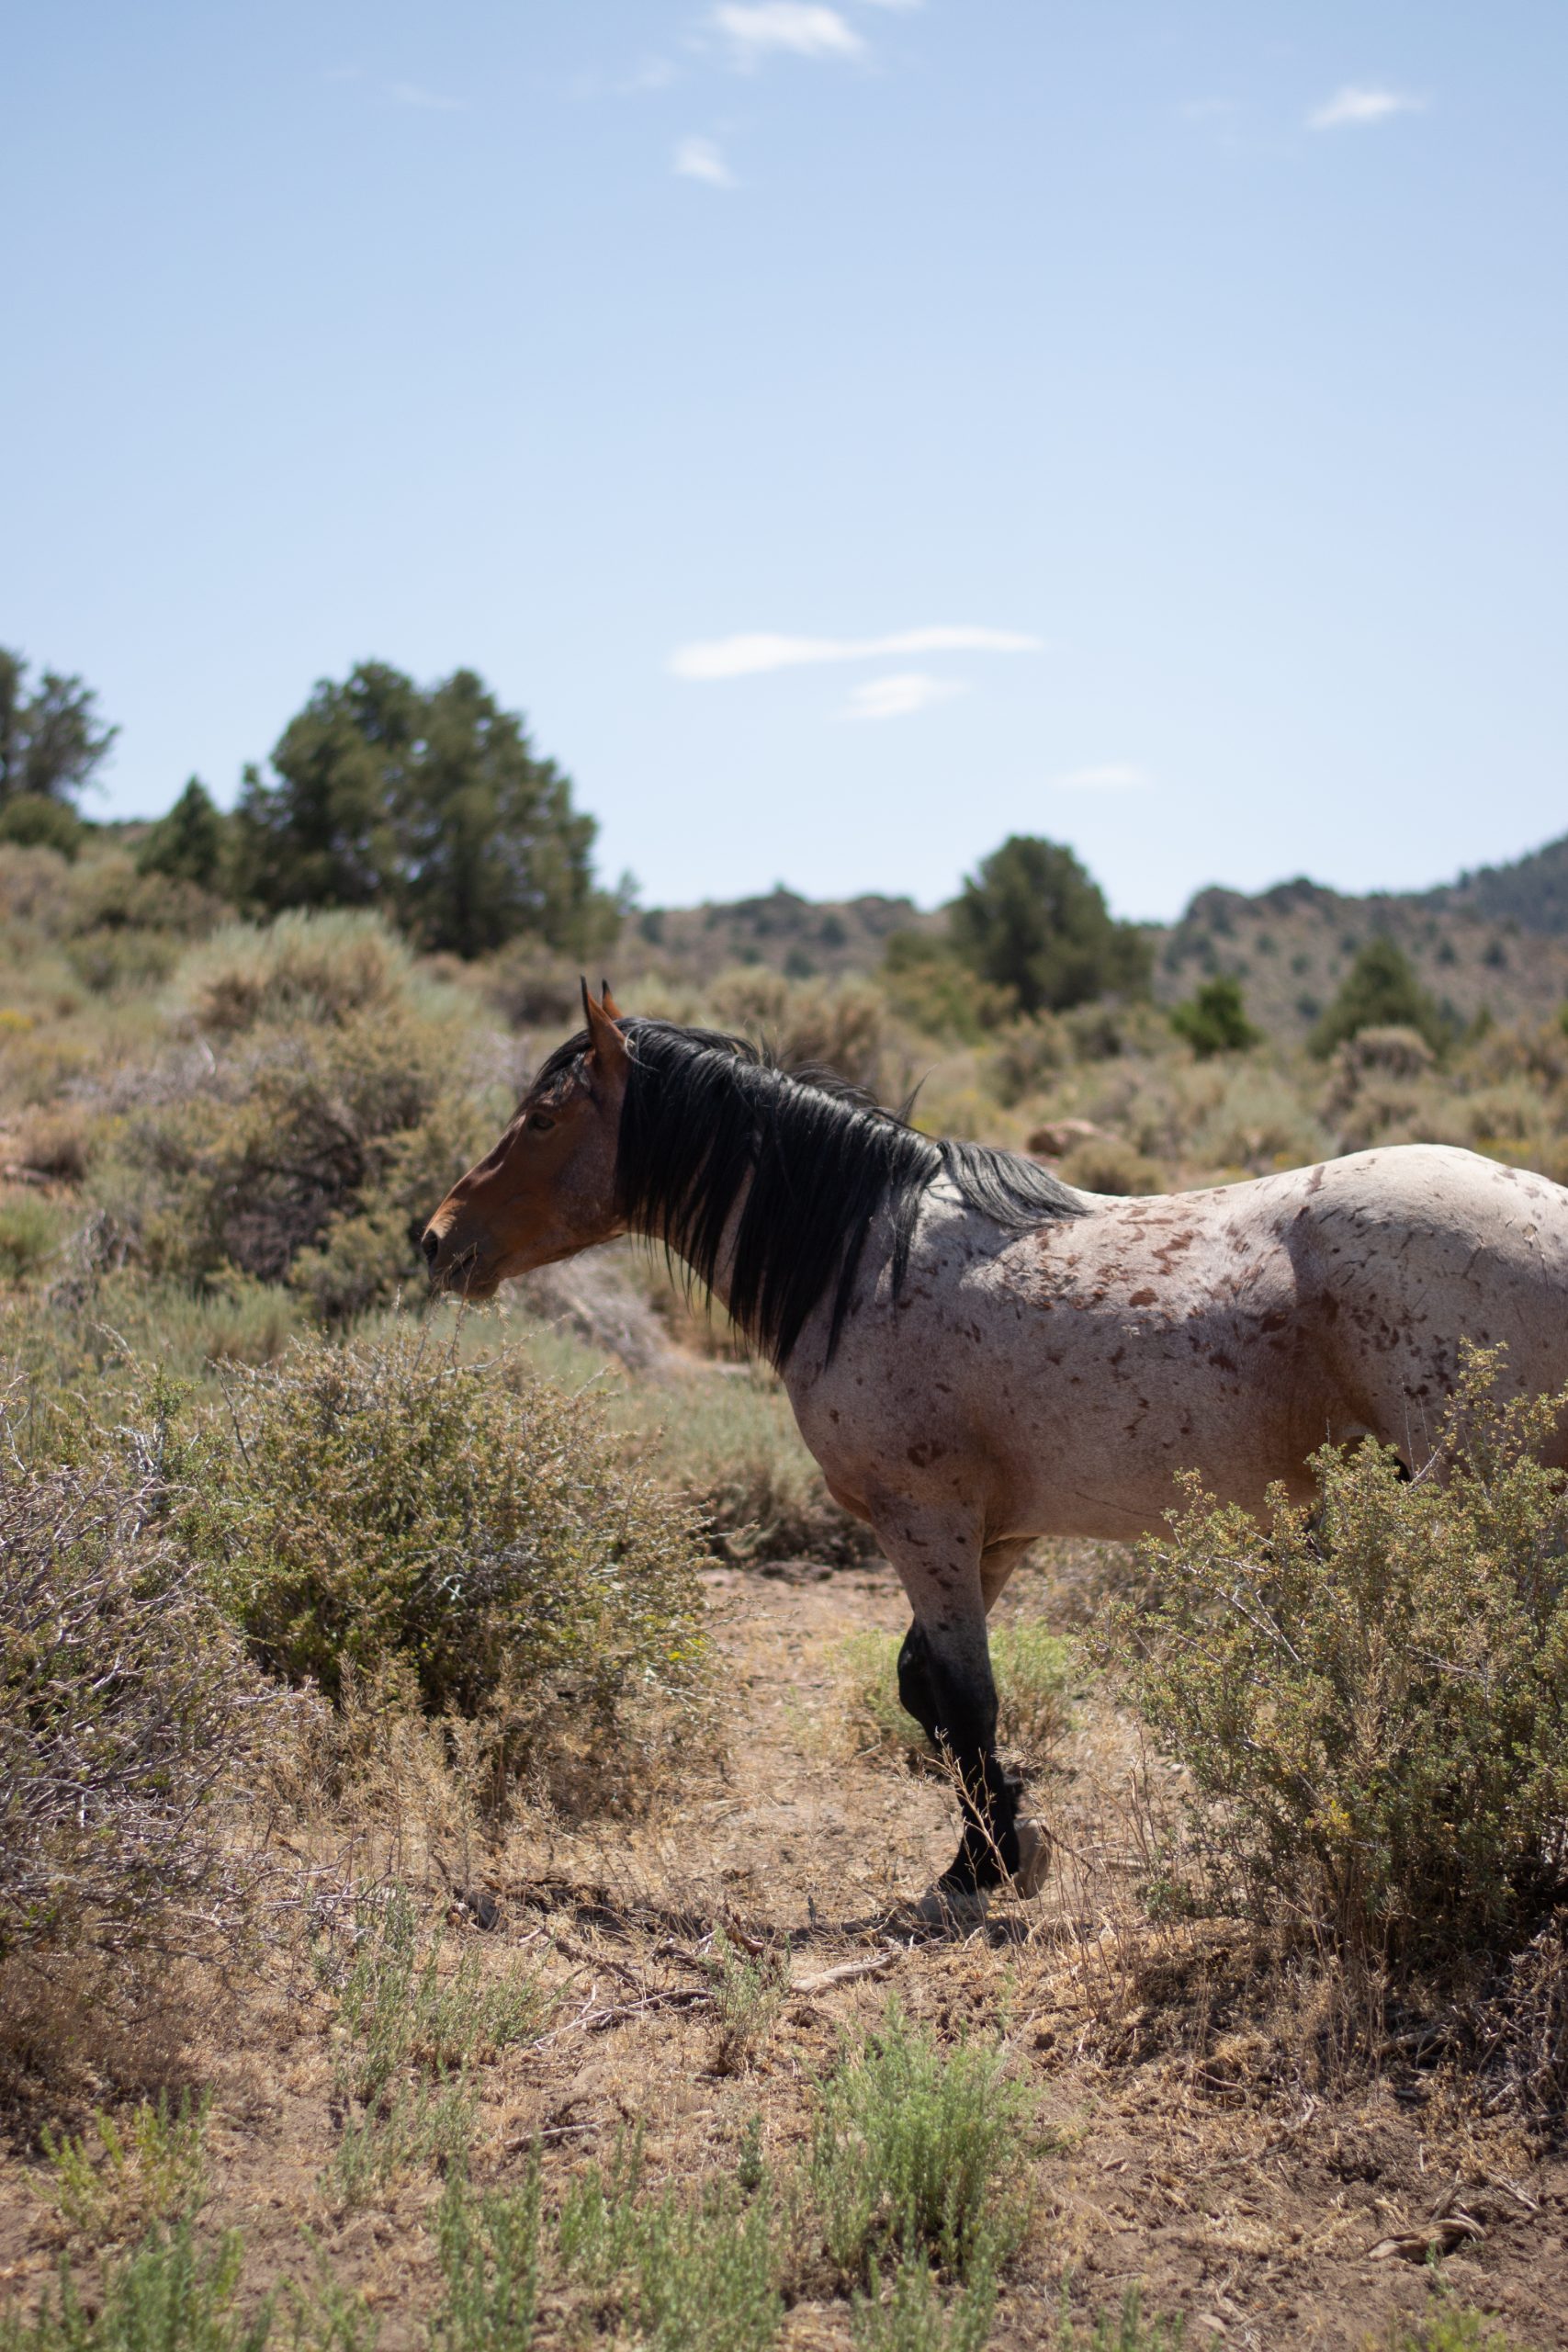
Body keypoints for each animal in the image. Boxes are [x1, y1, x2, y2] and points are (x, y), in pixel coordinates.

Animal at [423, 988, 1568, 1909]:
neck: (867, 1258)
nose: (436, 1239)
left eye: (542, 1117)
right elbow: (923, 1689)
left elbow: (966, 1697)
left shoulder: (924, 1522)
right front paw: (1001, 1840)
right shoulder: (997, 1536)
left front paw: (985, 1867)